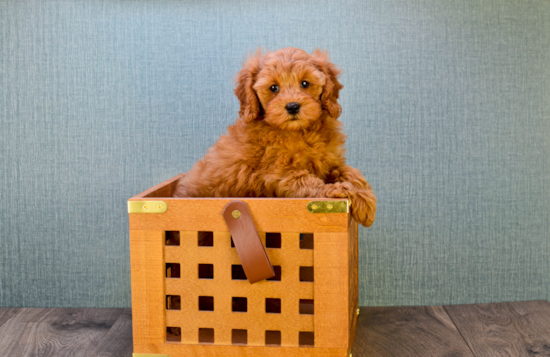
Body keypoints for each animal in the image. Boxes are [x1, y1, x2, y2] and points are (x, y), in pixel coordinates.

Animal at [175, 47, 378, 227]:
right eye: (273, 88)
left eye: (305, 84)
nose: (292, 106)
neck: (298, 131)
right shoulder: (279, 174)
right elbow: (310, 182)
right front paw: (336, 189)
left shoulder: (330, 161)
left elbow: (351, 171)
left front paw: (365, 201)